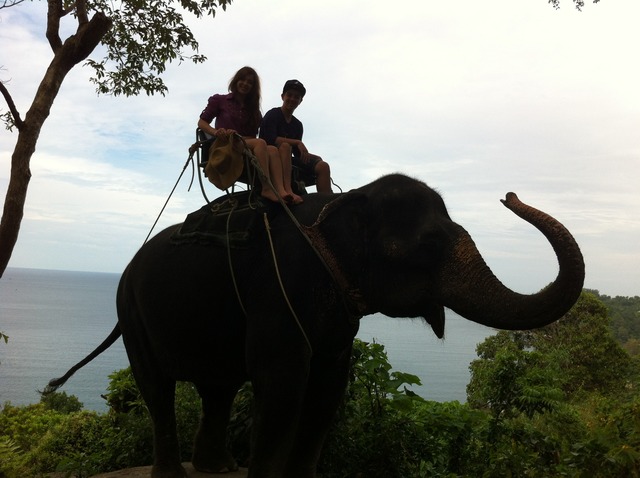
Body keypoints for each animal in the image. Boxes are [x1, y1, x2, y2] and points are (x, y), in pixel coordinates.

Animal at [46, 173, 585, 478]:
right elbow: (284, 384)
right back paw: (175, 474)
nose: (510, 195)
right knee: (157, 387)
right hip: (131, 311)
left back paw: (217, 468)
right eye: (430, 245)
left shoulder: (338, 319)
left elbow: (328, 387)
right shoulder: (279, 289)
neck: (342, 204)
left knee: (218, 389)